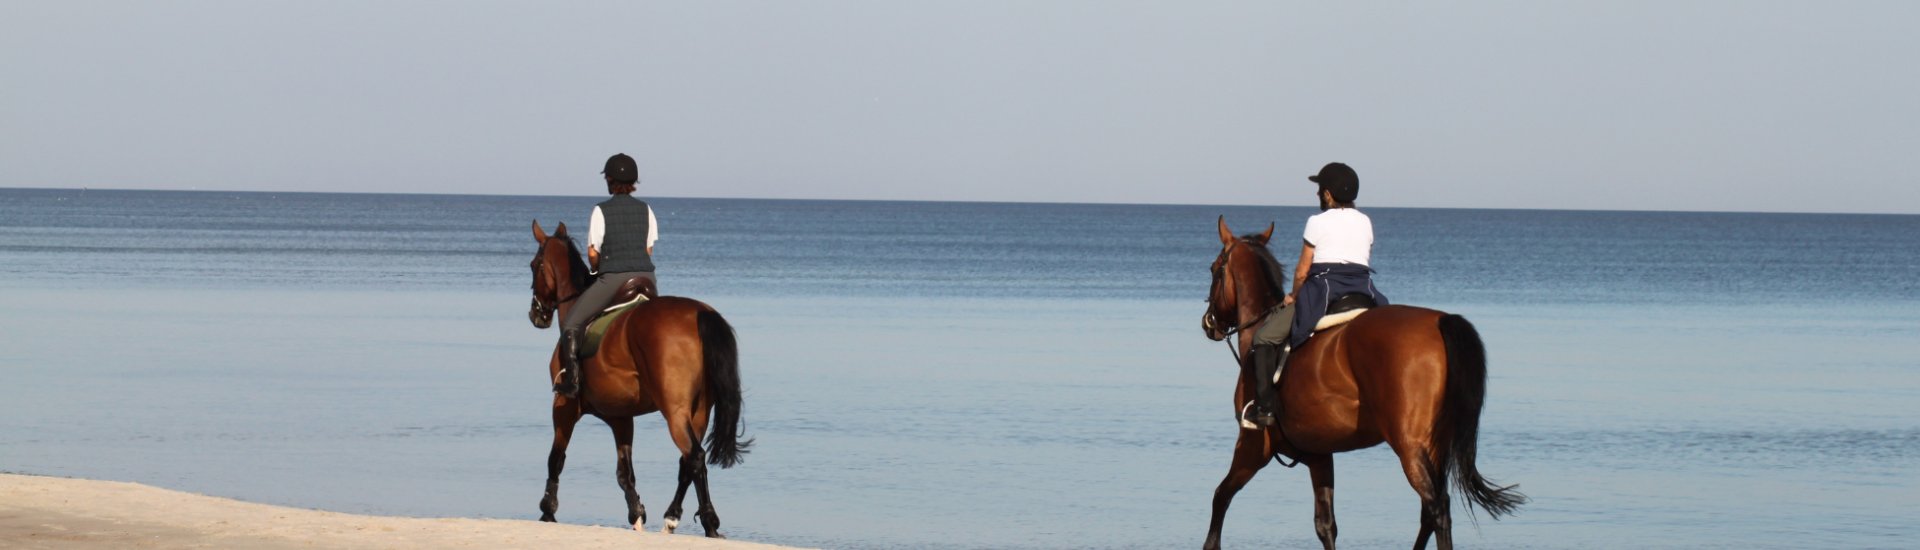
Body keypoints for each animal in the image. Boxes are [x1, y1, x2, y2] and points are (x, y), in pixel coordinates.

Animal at [526, 220, 751, 537]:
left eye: (534, 265)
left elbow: (555, 459)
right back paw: (672, 518)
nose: (537, 315)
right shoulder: (621, 417)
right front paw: (637, 514)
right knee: (688, 461)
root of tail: (701, 314)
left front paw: (548, 511)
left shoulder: (564, 406)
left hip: (674, 411)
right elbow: (625, 472)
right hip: (699, 411)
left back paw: (708, 521)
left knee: (694, 456)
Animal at [1199, 217, 1524, 550]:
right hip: (1435, 444)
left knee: (1437, 507)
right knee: (1428, 513)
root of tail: (1440, 321)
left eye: (1214, 268)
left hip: (1409, 445)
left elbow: (1220, 495)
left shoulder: (1253, 445)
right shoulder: (1319, 455)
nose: (1209, 322)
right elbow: (1325, 525)